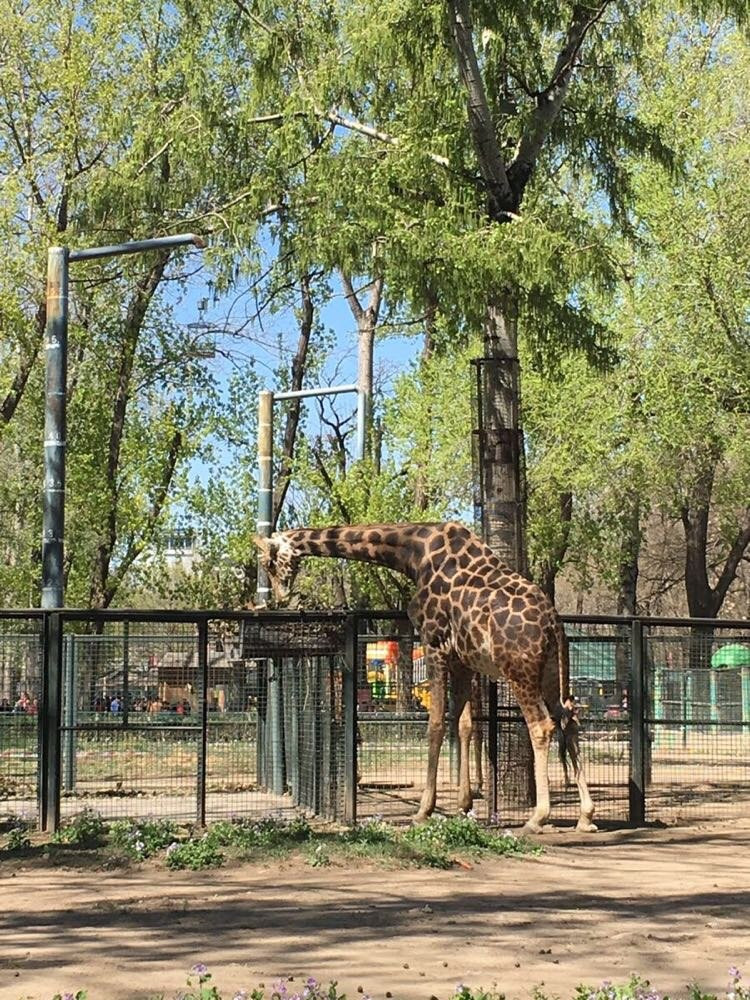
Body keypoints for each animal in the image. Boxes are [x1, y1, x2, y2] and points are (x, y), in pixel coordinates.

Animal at [256, 520, 596, 832]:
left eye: (269, 562)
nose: (280, 595)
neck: (413, 553)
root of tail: (555, 625)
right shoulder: (462, 660)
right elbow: (464, 725)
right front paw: (464, 806)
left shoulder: (433, 643)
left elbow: (435, 725)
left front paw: (424, 810)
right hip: (551, 673)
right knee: (569, 720)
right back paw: (585, 816)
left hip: (519, 673)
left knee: (541, 726)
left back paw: (538, 818)